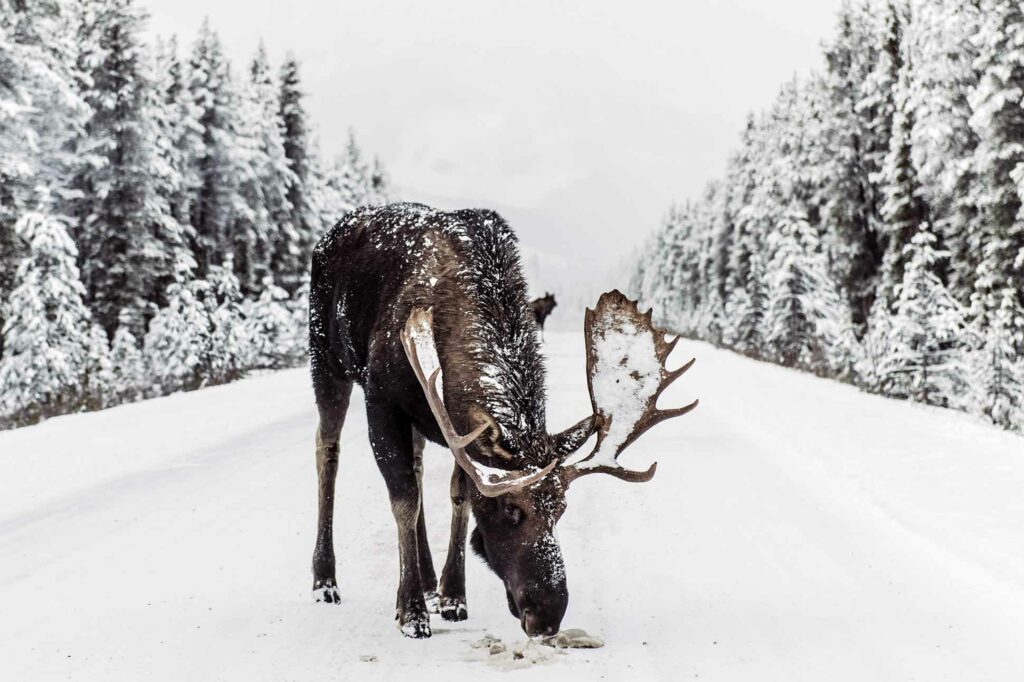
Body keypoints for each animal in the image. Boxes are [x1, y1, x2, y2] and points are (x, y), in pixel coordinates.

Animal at [309, 202, 696, 638]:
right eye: (511, 509)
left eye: (561, 508)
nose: (547, 615)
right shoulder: (382, 398)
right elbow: (404, 499)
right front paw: (410, 612)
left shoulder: (454, 426)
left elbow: (458, 495)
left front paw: (452, 595)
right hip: (326, 359)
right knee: (328, 450)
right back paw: (325, 580)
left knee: (418, 466)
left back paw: (427, 579)